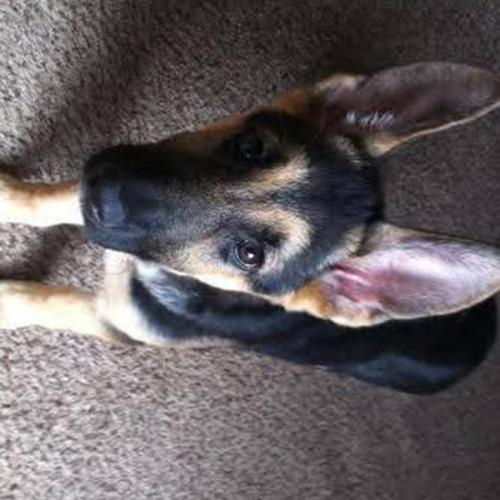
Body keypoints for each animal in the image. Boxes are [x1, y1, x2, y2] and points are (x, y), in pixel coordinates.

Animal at [1, 62, 499, 394]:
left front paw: (8, 300)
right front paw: (9, 193)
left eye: (249, 254)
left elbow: (43, 299)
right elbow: (45, 201)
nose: (102, 195)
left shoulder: (117, 322)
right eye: (250, 148)